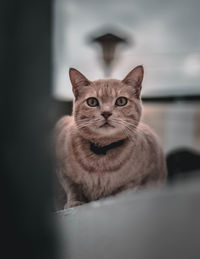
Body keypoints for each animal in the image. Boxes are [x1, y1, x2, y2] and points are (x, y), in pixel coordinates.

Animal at [54, 65, 167, 209]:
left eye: (121, 101)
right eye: (92, 101)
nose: (106, 113)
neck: (102, 151)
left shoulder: (139, 177)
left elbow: (122, 191)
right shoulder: (63, 171)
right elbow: (72, 187)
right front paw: (75, 202)